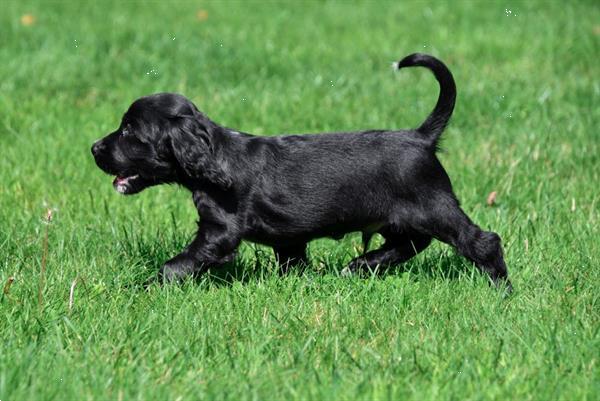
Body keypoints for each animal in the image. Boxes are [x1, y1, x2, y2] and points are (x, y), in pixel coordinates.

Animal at [90, 54, 510, 290]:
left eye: (129, 131)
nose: (94, 148)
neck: (216, 156)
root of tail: (420, 136)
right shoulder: (288, 240)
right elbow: (291, 261)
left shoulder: (219, 232)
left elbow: (176, 266)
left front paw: (141, 288)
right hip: (402, 215)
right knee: (409, 242)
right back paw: (361, 266)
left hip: (433, 206)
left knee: (481, 241)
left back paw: (501, 289)